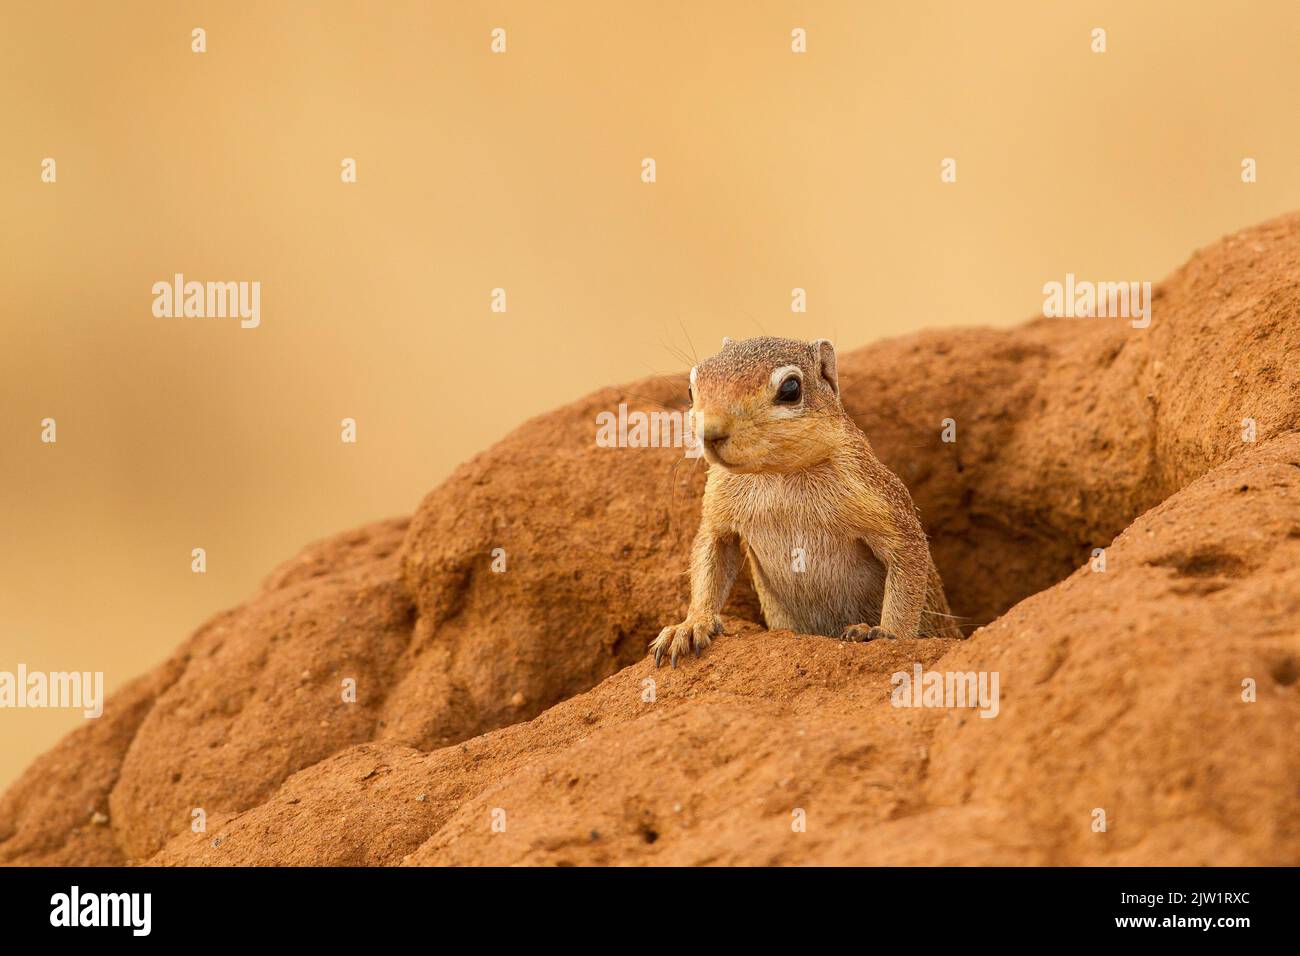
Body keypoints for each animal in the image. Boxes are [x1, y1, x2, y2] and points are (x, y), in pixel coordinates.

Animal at [651, 335, 961, 667]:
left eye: (790, 389)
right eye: (690, 389)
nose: (709, 433)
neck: (778, 476)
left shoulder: (882, 503)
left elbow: (907, 562)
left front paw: (884, 633)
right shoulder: (717, 510)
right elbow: (710, 554)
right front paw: (689, 626)